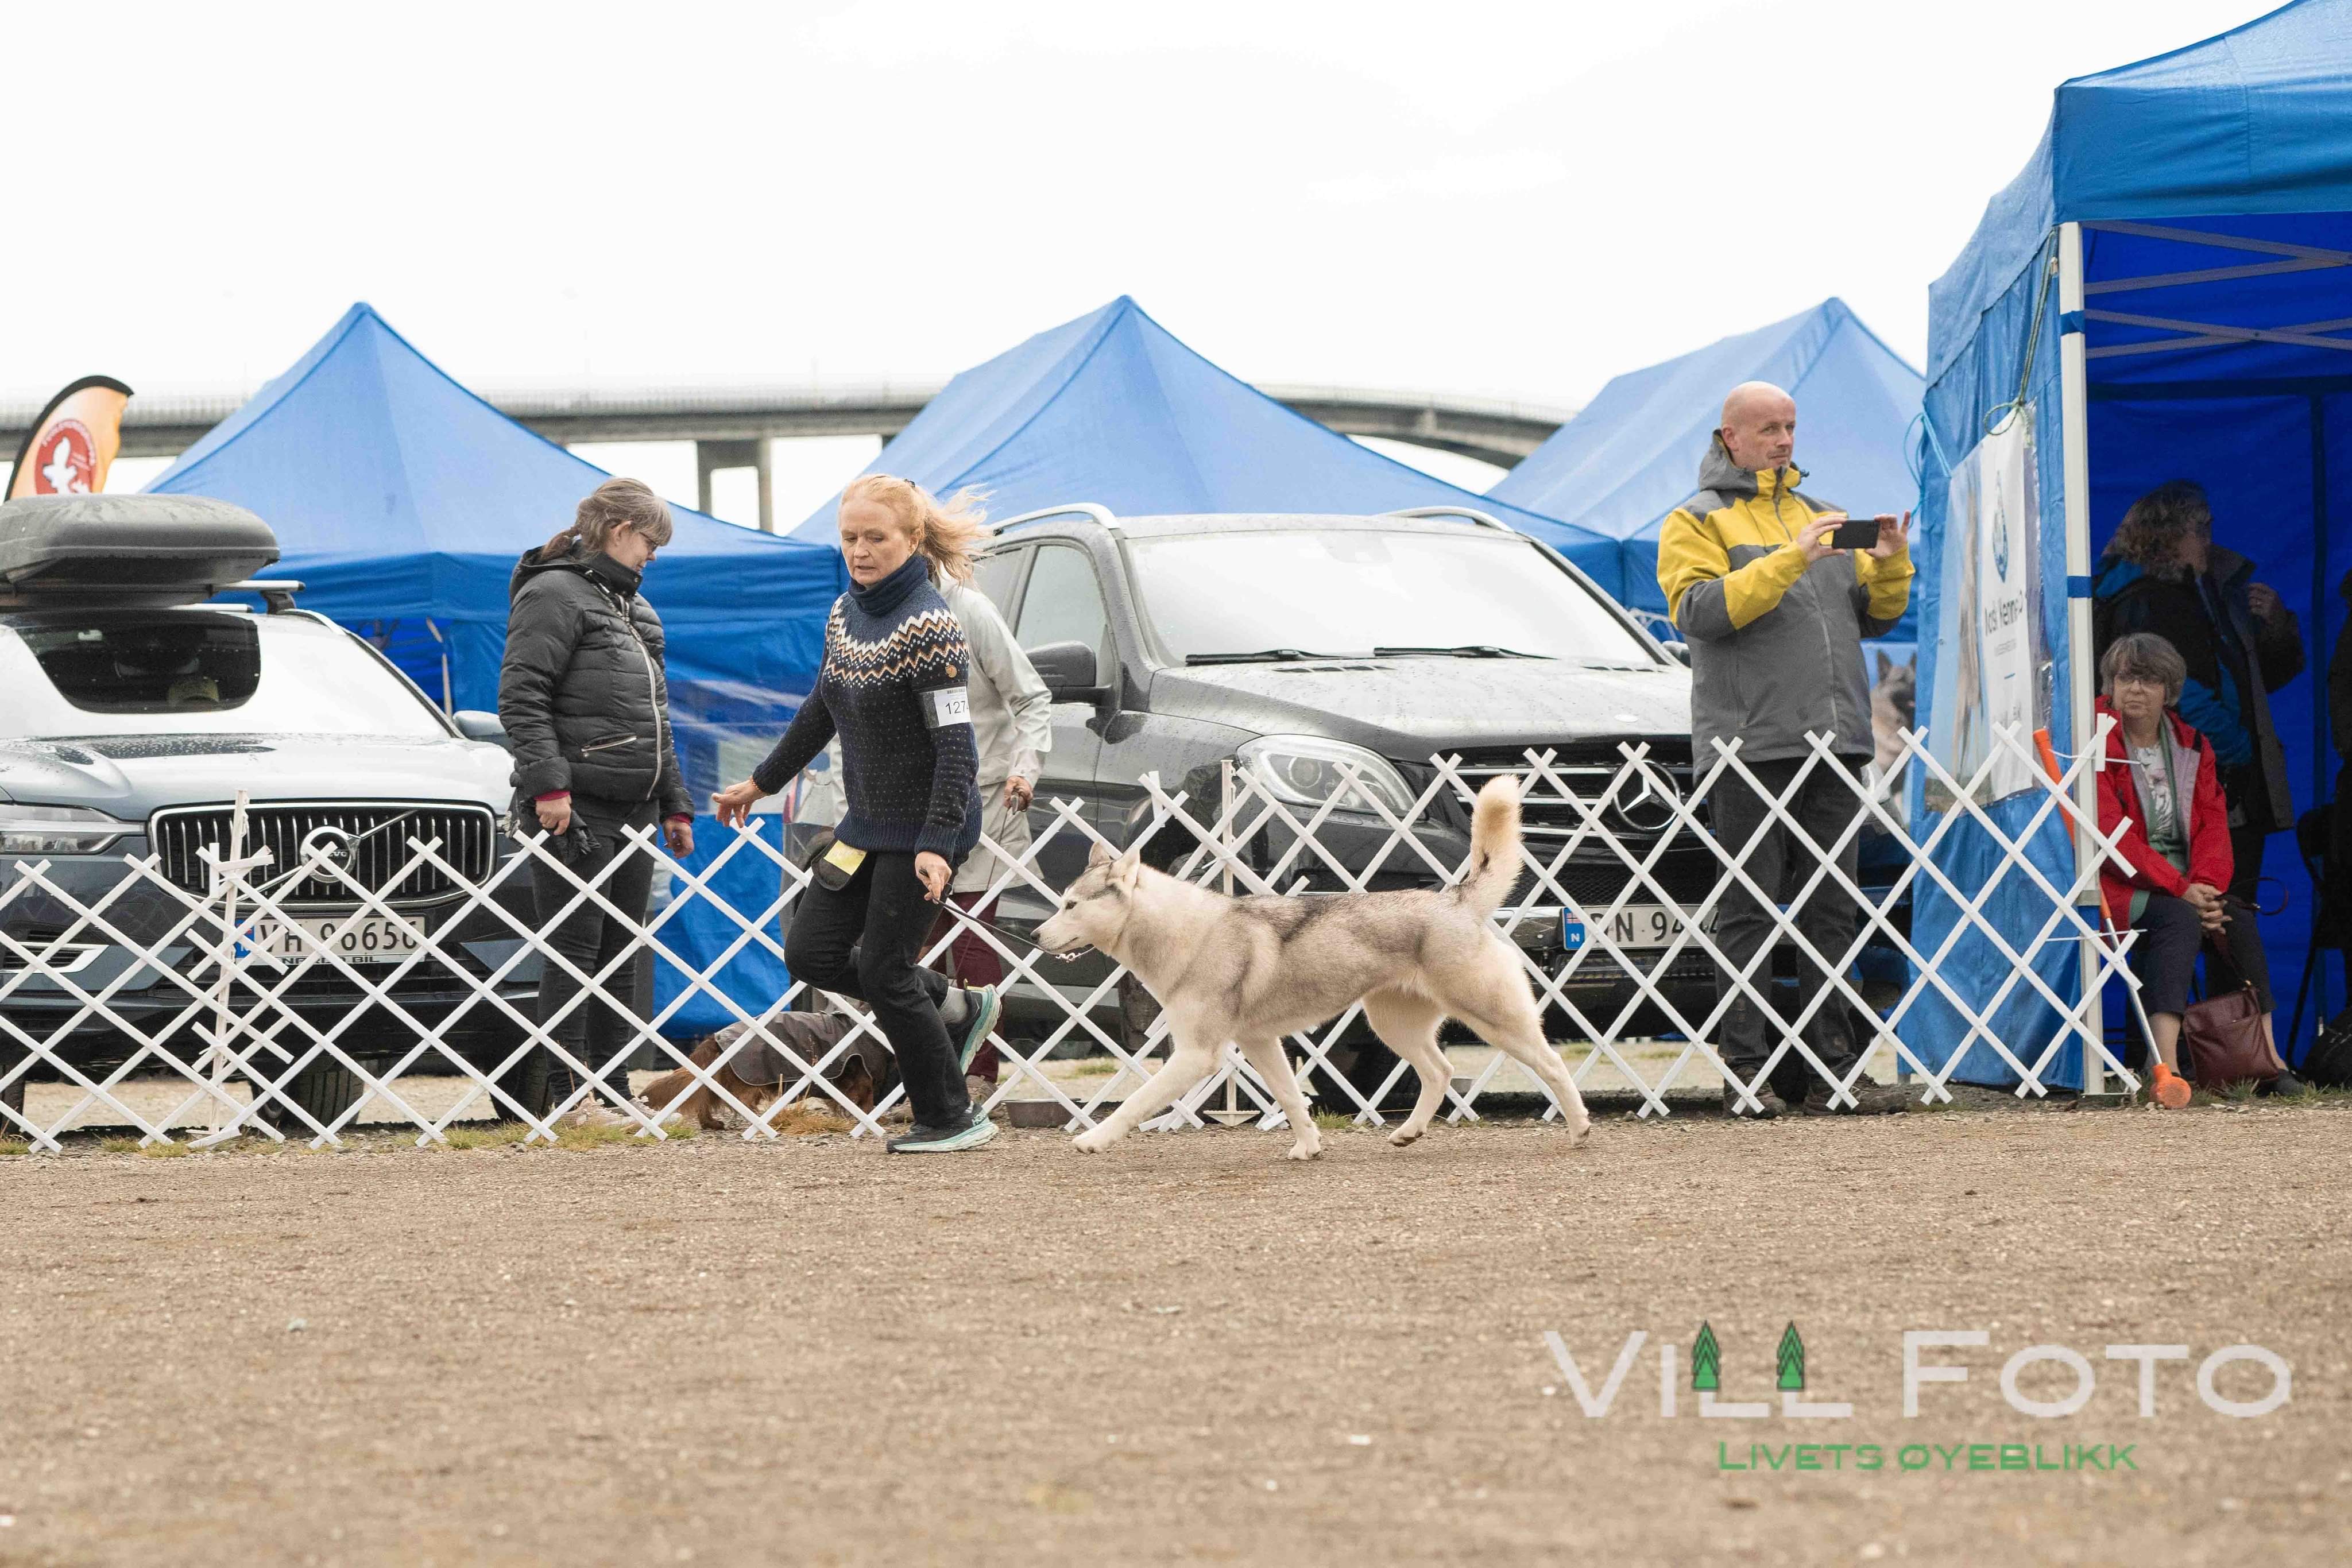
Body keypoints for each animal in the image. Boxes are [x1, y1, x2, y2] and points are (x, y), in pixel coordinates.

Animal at [1039, 780, 1589, 1161]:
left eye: (1070, 904)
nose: (1038, 936)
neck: (1189, 932)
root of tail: (1457, 901)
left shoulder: (1197, 1055)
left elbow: (1136, 1102)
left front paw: (1094, 1138)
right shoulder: (1260, 1042)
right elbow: (1290, 1097)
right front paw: (1309, 1146)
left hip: (1494, 1017)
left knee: (1551, 1064)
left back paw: (1580, 1128)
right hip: (1392, 1024)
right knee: (1440, 1072)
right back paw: (1409, 1131)